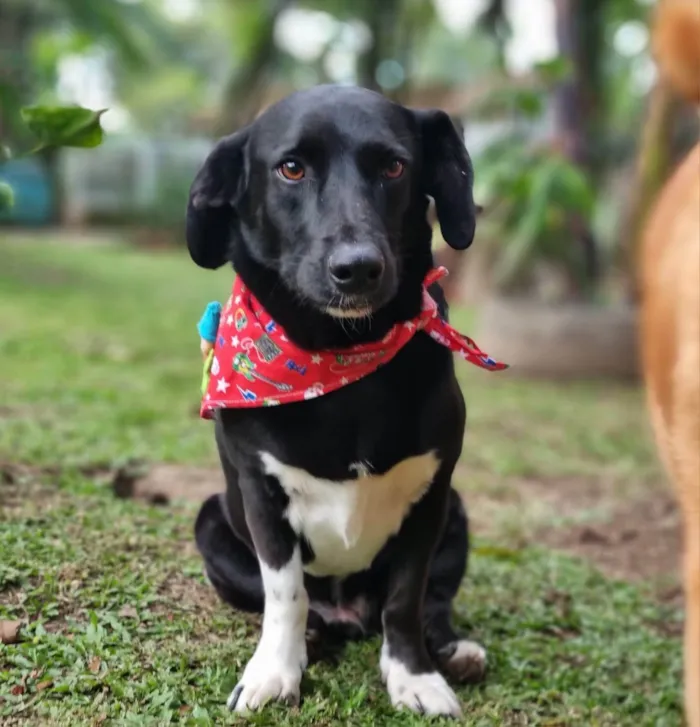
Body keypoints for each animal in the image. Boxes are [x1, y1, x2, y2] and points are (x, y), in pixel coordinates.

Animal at [189, 84, 490, 716]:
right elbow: (285, 592)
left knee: (432, 604)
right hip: (211, 522)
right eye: (291, 168)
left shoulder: (432, 498)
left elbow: (407, 597)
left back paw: (452, 650)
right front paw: (274, 671)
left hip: (457, 515)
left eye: (394, 167)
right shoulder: (259, 493)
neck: (342, 359)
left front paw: (414, 675)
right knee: (303, 608)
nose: (357, 268)